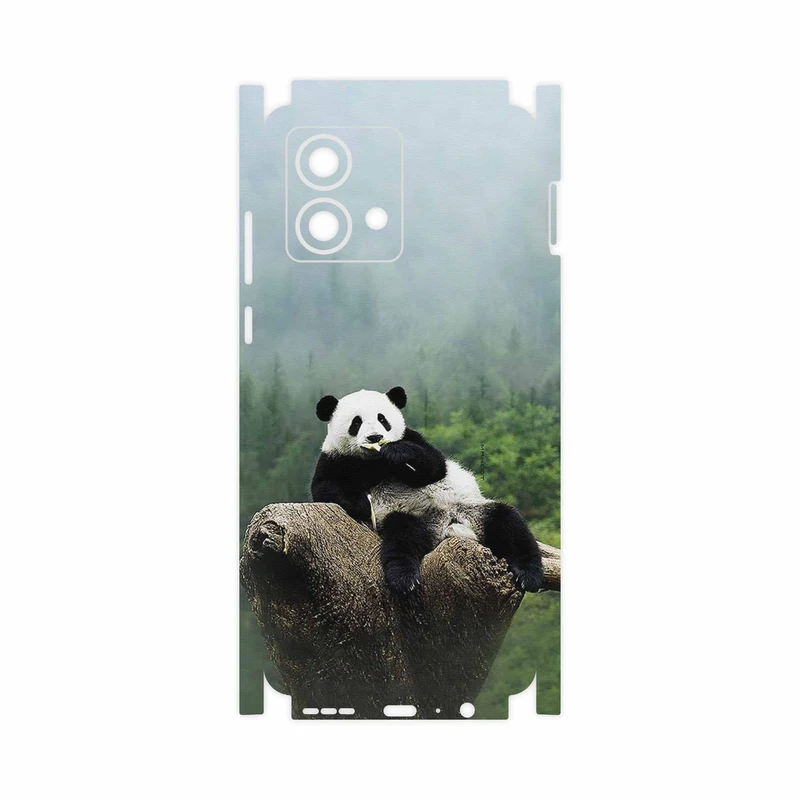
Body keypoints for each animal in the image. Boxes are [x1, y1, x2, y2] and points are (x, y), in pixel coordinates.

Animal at [311, 386, 544, 595]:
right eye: (356, 422)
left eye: (382, 419)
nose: (375, 437)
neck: (374, 461)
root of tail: (447, 524)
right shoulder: (335, 458)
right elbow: (325, 488)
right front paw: (362, 503)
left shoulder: (413, 438)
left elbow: (435, 466)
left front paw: (397, 452)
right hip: (413, 518)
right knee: (403, 537)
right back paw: (404, 579)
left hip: (473, 509)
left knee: (508, 523)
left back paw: (528, 575)